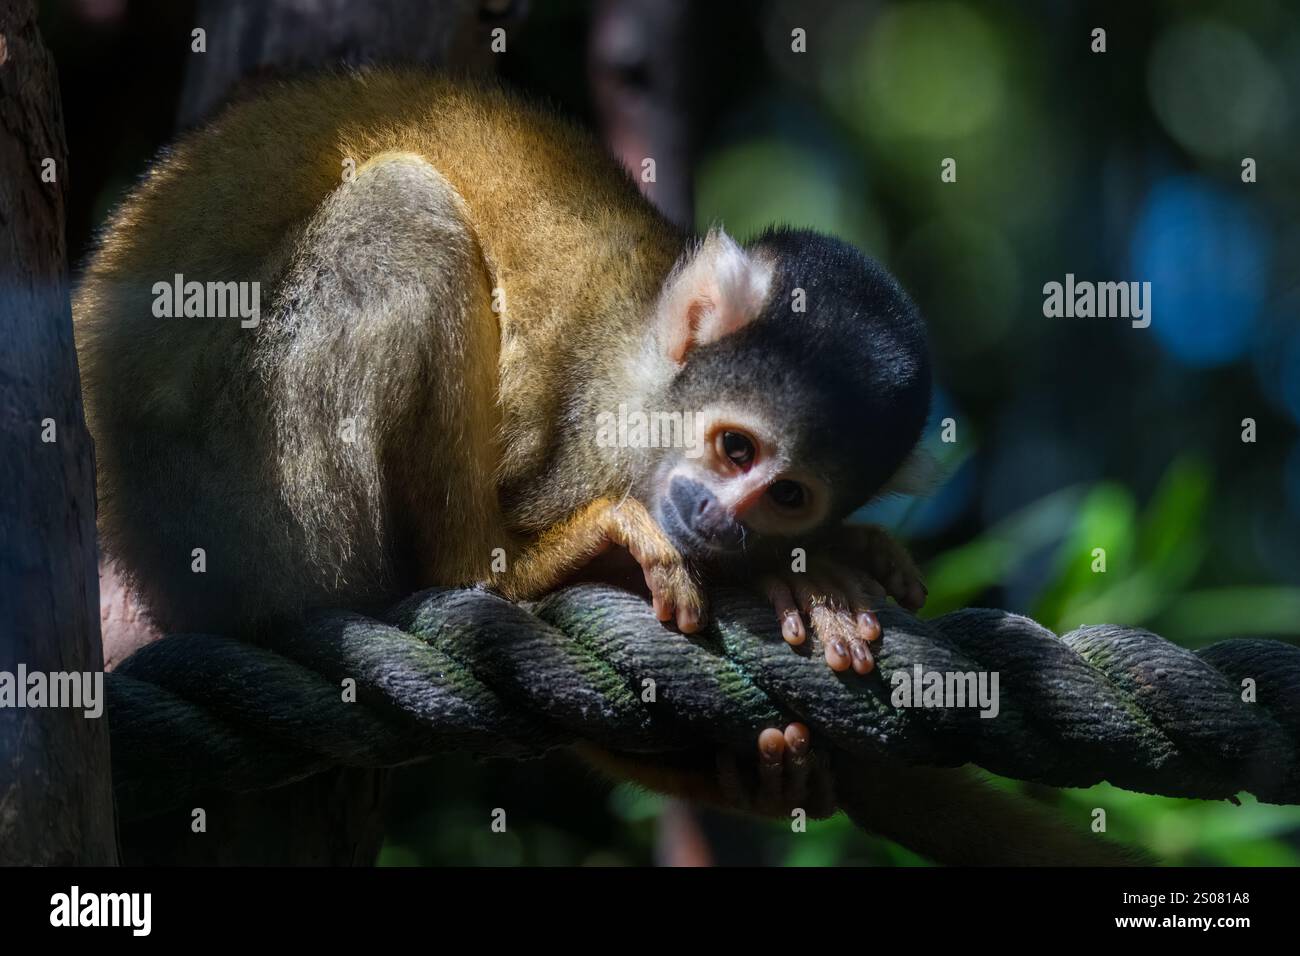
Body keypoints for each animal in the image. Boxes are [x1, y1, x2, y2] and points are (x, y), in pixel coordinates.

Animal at [76, 69, 941, 816]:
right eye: (736, 449)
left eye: (788, 495)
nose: (722, 519)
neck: (649, 363)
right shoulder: (599, 429)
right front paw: (800, 577)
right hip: (239, 493)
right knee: (402, 208)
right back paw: (500, 572)